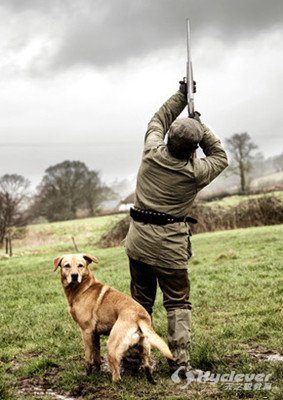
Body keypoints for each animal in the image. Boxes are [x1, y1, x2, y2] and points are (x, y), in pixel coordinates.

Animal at [53, 253, 173, 382]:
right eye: (67, 265)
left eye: (81, 265)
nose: (74, 276)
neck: (83, 288)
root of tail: (140, 317)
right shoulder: (95, 334)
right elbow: (97, 358)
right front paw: (97, 373)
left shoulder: (86, 332)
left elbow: (88, 358)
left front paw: (88, 375)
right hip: (144, 348)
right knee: (147, 368)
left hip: (112, 346)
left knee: (117, 375)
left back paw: (114, 381)